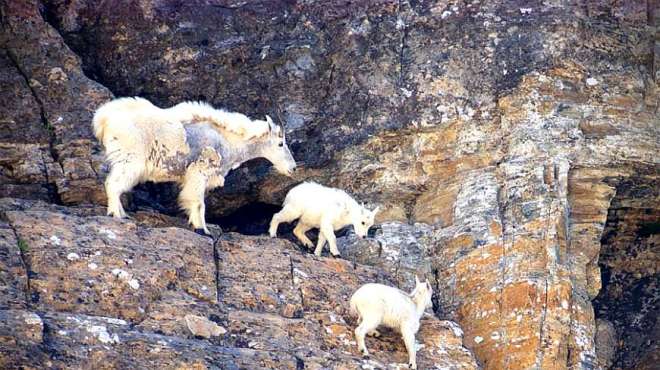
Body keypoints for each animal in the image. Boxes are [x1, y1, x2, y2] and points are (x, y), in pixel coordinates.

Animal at [93, 96, 296, 234]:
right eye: (280, 143)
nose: (293, 168)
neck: (228, 140)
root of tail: (103, 119)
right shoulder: (199, 172)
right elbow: (199, 203)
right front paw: (203, 229)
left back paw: (123, 213)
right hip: (130, 160)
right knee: (113, 184)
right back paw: (116, 214)